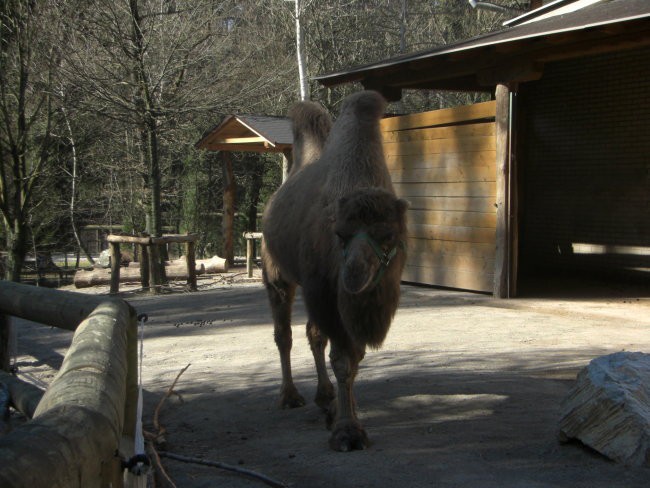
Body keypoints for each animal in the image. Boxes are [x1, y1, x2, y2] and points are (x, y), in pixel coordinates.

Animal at [260, 90, 404, 450]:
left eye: (389, 235)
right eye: (339, 234)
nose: (353, 275)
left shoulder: (351, 304)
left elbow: (354, 356)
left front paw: (344, 413)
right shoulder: (325, 292)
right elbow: (343, 359)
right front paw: (347, 431)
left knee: (313, 334)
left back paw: (325, 397)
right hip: (277, 273)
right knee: (284, 334)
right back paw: (289, 396)